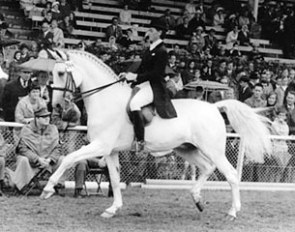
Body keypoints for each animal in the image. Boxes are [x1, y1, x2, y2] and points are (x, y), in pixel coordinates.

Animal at [40, 50, 272, 219]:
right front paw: (112, 209)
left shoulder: (100, 145)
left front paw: (48, 188)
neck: (106, 100)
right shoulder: (110, 151)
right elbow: (114, 179)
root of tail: (215, 107)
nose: (56, 106)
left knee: (231, 174)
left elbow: (69, 158)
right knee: (207, 168)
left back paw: (232, 212)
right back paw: (197, 199)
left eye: (60, 73)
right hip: (186, 149)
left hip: (212, 149)